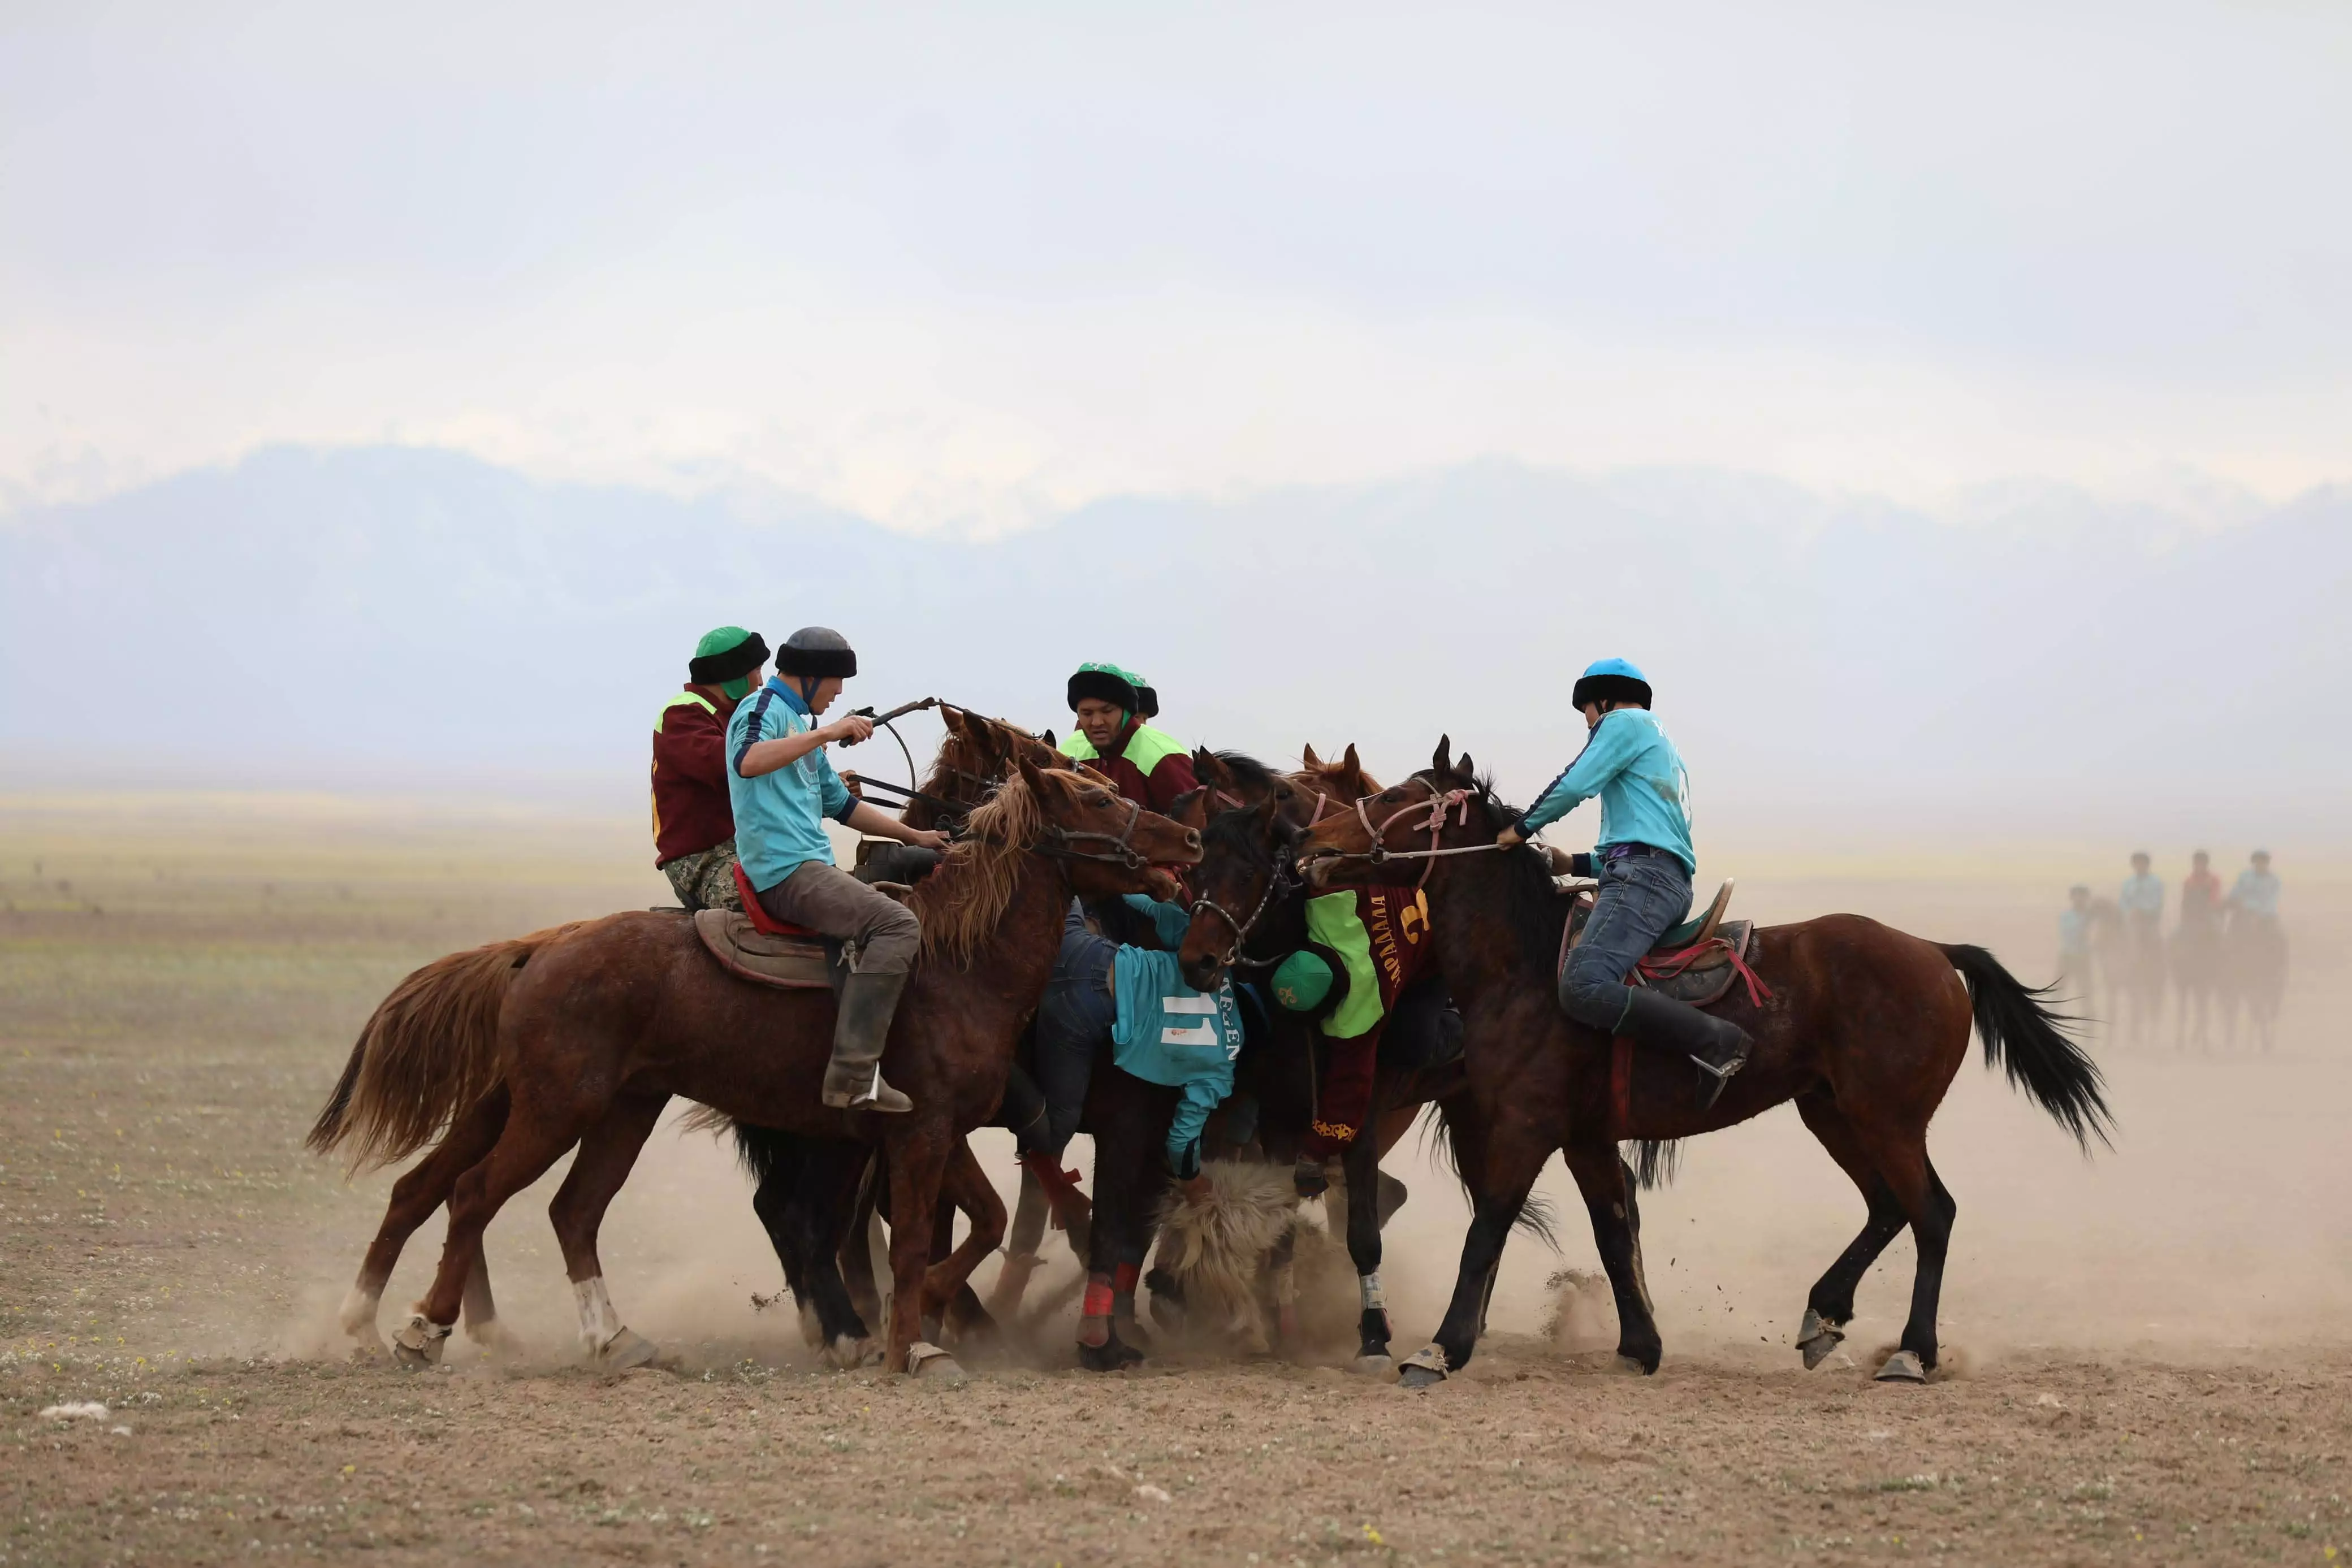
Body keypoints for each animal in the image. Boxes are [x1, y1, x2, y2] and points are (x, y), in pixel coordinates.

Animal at [308, 752, 1195, 1382]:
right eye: (1097, 801)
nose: (1186, 839)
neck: (960, 964)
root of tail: (546, 946)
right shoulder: (919, 1132)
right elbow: (915, 1236)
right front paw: (910, 1345)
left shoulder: (943, 1132)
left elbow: (982, 1221)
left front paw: (929, 1320)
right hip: (557, 1106)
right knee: (473, 1194)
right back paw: (423, 1329)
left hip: (609, 1108)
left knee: (551, 1208)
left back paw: (607, 1338)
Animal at [1298, 743, 2126, 1392]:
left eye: (1395, 798)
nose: (1309, 847)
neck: (1524, 968)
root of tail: (1931, 949)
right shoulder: (1585, 1136)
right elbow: (1612, 1228)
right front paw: (1639, 1346)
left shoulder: (1529, 1127)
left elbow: (1488, 1228)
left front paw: (1440, 1348)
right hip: (1833, 1112)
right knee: (1889, 1207)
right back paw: (1823, 1315)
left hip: (1886, 1118)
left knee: (1932, 1212)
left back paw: (1912, 1354)